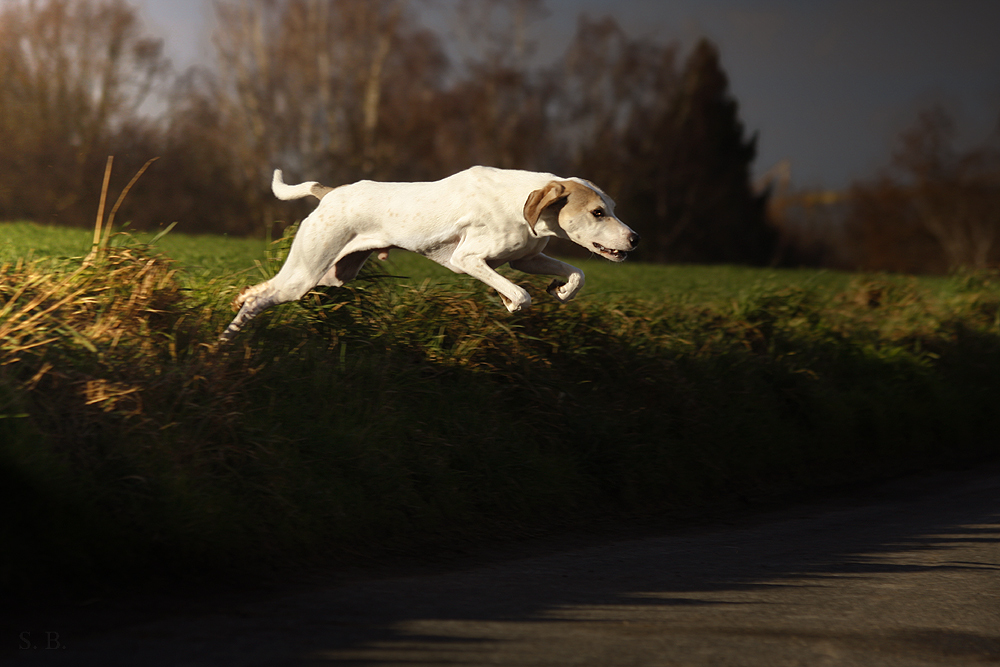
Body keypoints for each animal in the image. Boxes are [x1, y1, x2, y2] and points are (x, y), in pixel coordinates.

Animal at [220, 167, 640, 340]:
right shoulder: (467, 260)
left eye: (614, 207)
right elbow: (521, 295)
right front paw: (509, 301)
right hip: (307, 274)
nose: (635, 239)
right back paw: (227, 339)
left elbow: (577, 274)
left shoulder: (526, 258)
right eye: (597, 213)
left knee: (258, 292)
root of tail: (331, 192)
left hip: (331, 275)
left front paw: (562, 290)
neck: (521, 203)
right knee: (259, 300)